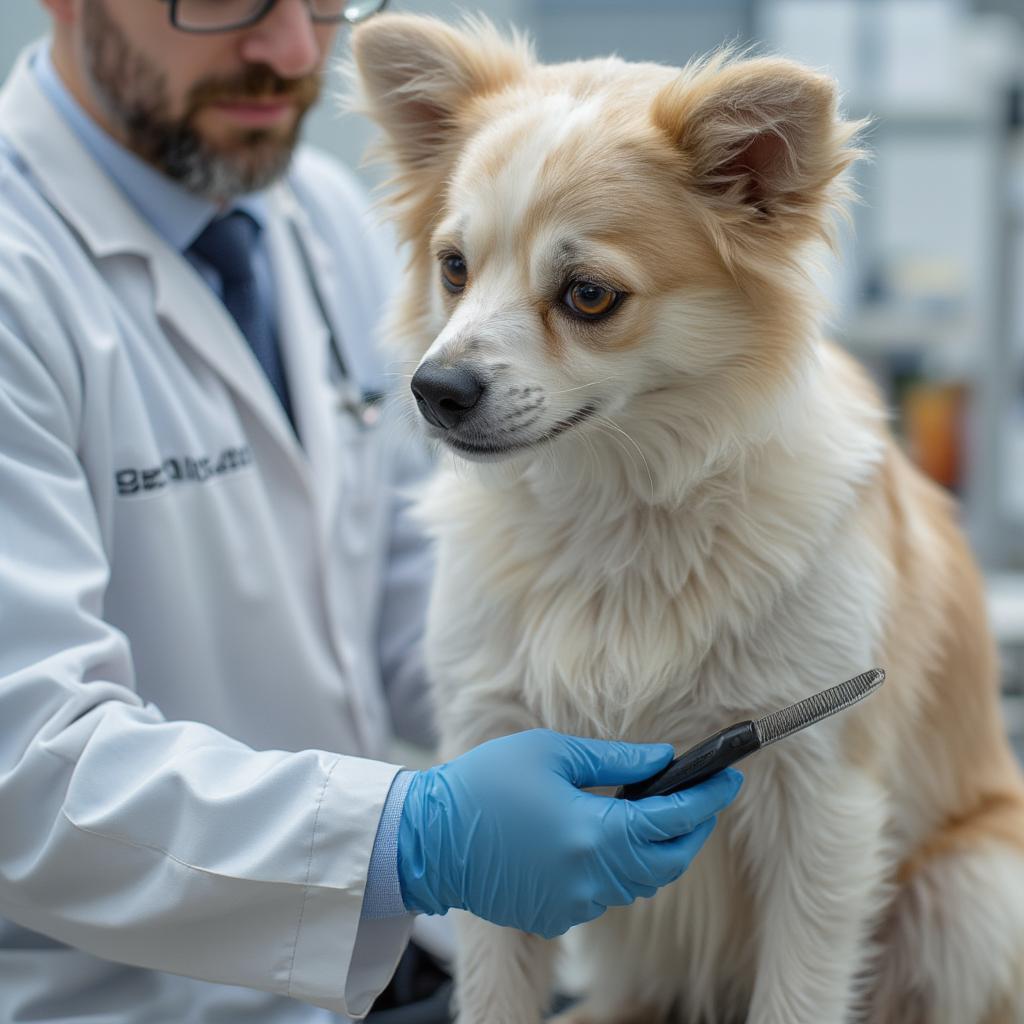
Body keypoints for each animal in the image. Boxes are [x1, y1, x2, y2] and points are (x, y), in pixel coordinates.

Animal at [350, 16, 1024, 1024]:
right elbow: (497, 964)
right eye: (454, 268)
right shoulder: (490, 754)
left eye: (589, 295)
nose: (435, 390)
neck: (616, 510)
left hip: (971, 888)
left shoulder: (822, 807)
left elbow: (798, 992)